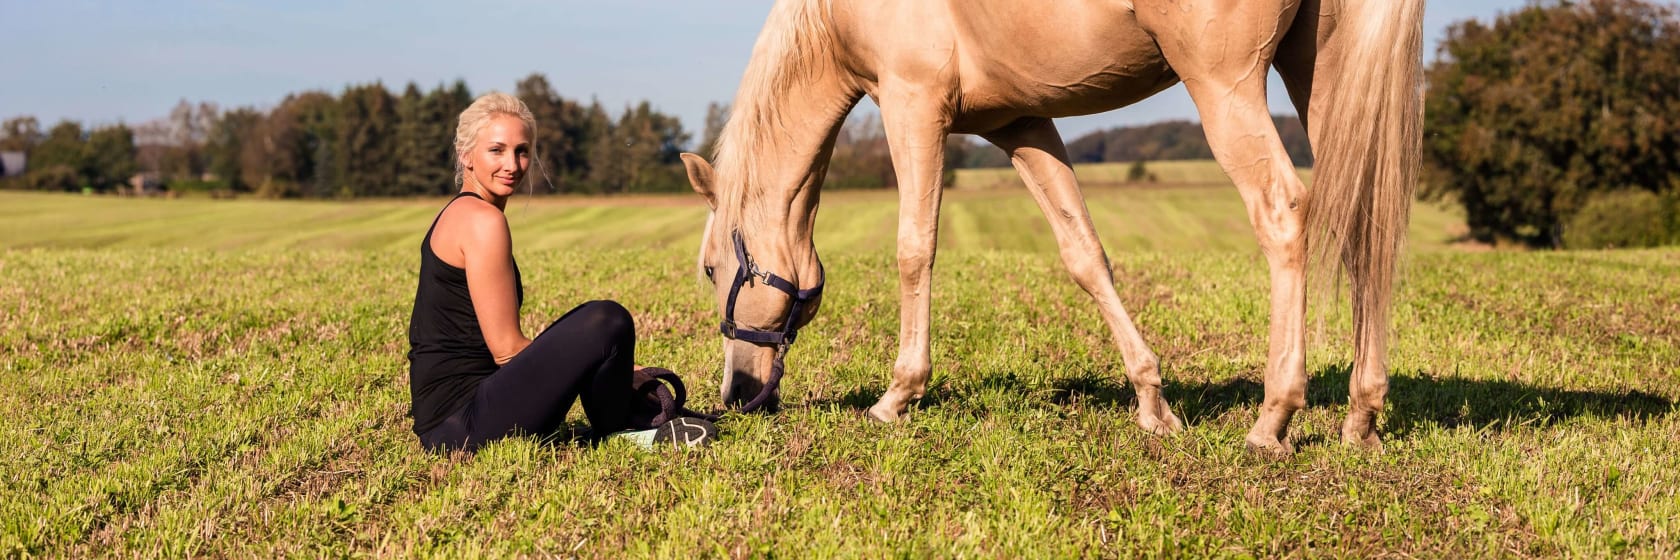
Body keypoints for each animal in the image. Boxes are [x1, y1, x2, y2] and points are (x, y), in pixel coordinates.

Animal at [678, 0, 1417, 450]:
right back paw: (1362, 416)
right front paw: (1153, 405)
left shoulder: (913, 105)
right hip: (1319, 71)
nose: (738, 394)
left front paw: (897, 395)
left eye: (713, 269)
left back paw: (1273, 418)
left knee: (1283, 213)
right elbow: (1083, 253)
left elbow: (915, 249)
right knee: (1364, 225)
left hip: (1224, 83)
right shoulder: (1020, 122)